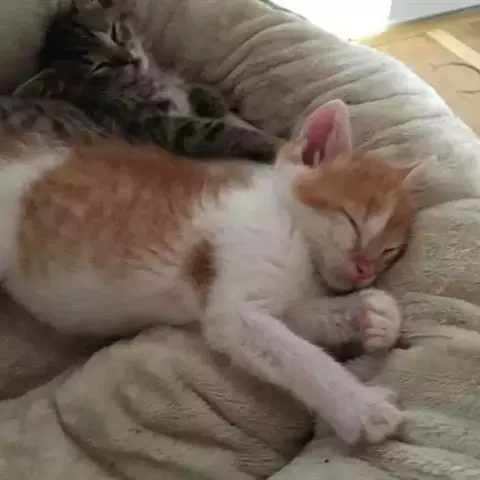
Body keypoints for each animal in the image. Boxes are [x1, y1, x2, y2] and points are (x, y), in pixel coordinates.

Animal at [0, 99, 422, 444]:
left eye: (389, 250)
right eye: (354, 222)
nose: (364, 270)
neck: (294, 231)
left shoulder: (272, 300)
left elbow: (299, 320)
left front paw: (374, 316)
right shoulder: (235, 303)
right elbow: (299, 356)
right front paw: (362, 407)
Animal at [13, 0, 279, 162]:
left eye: (114, 33)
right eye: (100, 66)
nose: (129, 59)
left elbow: (182, 82)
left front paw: (212, 99)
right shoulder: (155, 125)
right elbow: (213, 132)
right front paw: (266, 143)